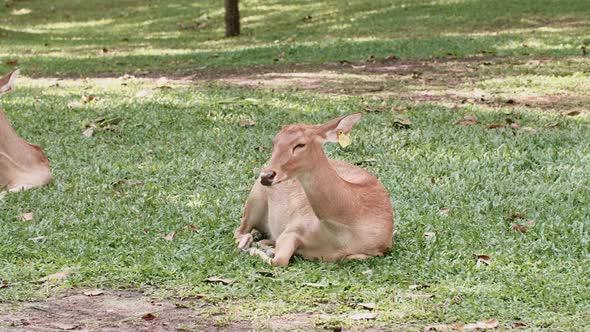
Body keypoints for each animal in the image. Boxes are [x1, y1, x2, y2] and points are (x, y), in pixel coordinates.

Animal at [234, 114, 396, 268]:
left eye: (300, 144)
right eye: (275, 142)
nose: (266, 176)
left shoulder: (381, 248)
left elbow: (356, 257)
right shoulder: (293, 227)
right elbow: (279, 260)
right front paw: (255, 250)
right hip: (255, 198)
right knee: (240, 231)